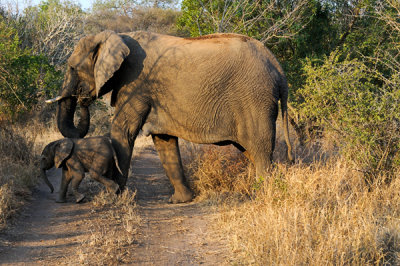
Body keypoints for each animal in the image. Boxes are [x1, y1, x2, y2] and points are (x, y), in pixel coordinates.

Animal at [47, 30, 294, 203]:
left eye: (72, 68)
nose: (82, 98)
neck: (115, 36)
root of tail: (278, 66)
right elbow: (163, 140)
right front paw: (180, 201)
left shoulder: (136, 82)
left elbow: (123, 131)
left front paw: (113, 197)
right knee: (252, 150)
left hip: (255, 99)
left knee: (260, 150)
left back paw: (263, 195)